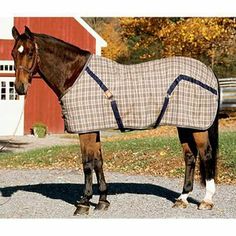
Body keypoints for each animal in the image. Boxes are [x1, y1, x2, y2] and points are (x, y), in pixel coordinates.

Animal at [10, 26, 218, 215]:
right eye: (13, 53)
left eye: (30, 52)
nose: (20, 88)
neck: (75, 75)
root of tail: (209, 71)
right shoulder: (93, 128)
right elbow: (98, 162)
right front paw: (103, 201)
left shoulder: (85, 130)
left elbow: (87, 164)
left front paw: (84, 203)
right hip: (185, 125)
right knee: (190, 157)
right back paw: (182, 199)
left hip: (198, 127)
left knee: (206, 154)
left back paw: (207, 201)